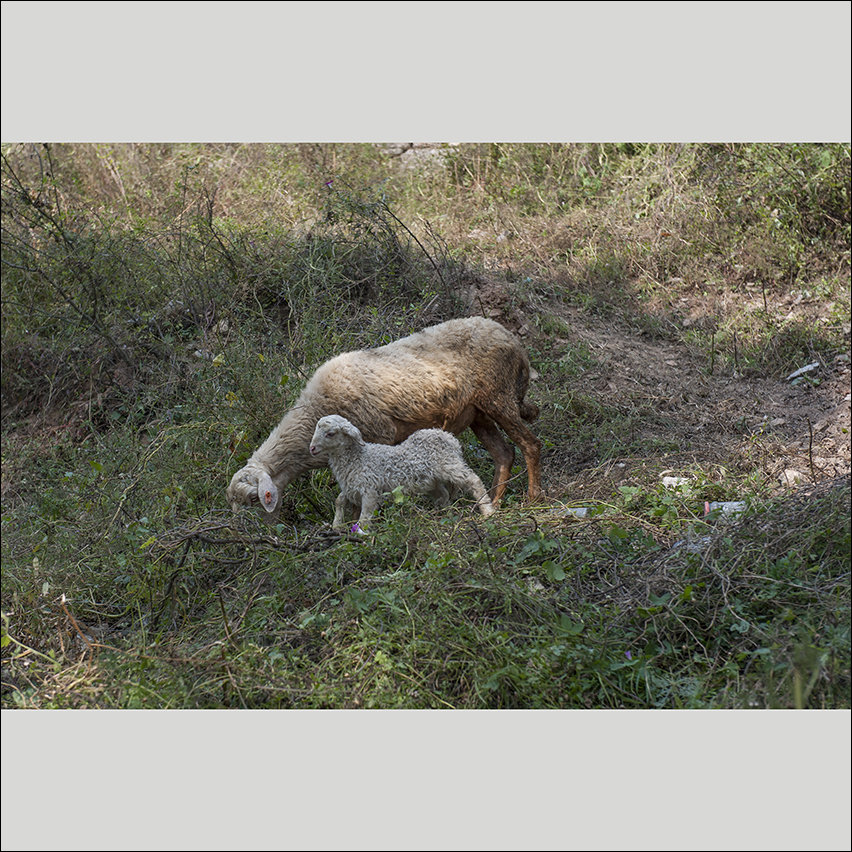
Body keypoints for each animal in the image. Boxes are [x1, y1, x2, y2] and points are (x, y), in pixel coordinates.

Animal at [226, 314, 544, 516]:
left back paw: (532, 500)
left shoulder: (379, 438)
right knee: (504, 454)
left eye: (255, 498)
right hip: (478, 413)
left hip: (499, 397)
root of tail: (511, 339)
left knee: (530, 444)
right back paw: (495, 502)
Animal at [310, 414, 496, 532]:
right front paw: (336, 525)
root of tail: (450, 437)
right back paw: (443, 514)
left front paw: (361, 534)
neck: (358, 458)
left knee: (473, 480)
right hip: (431, 481)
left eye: (330, 433)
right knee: (443, 494)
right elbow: (339, 500)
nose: (312, 448)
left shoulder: (370, 490)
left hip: (449, 464)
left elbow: (365, 516)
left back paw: (488, 510)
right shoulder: (351, 486)